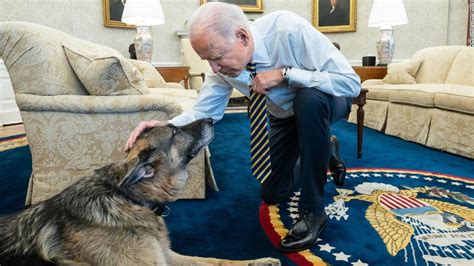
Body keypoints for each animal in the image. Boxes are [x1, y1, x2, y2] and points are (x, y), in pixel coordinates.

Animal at [0, 119, 280, 264]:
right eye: (175, 131)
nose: (211, 119)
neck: (130, 199)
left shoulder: (167, 256)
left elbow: (216, 261)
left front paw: (259, 262)